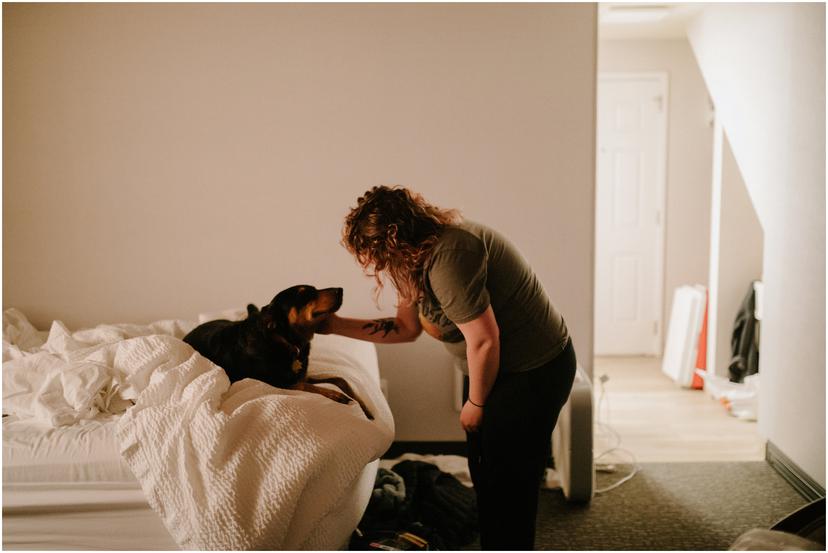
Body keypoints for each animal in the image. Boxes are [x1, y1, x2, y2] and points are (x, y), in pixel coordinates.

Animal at [186, 284, 374, 418]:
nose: (341, 289)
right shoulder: (280, 383)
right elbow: (307, 386)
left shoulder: (301, 375)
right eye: (304, 294)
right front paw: (336, 395)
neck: (287, 342)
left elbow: (340, 379)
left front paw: (365, 408)